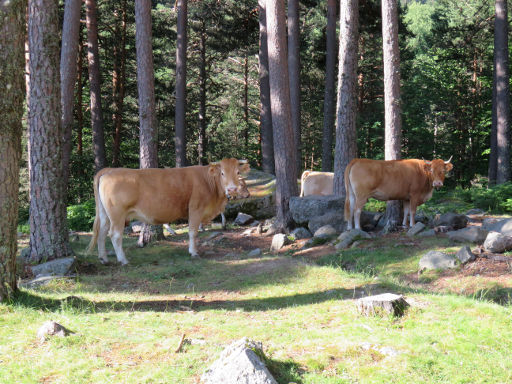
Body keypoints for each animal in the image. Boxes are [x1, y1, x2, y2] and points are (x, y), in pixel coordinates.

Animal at [87, 157, 251, 264]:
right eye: (222, 173)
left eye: (237, 172)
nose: (232, 189)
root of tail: (109, 170)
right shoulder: (195, 209)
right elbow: (193, 232)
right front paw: (193, 252)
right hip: (117, 214)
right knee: (114, 234)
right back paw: (123, 260)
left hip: (105, 214)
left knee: (102, 232)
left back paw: (104, 258)